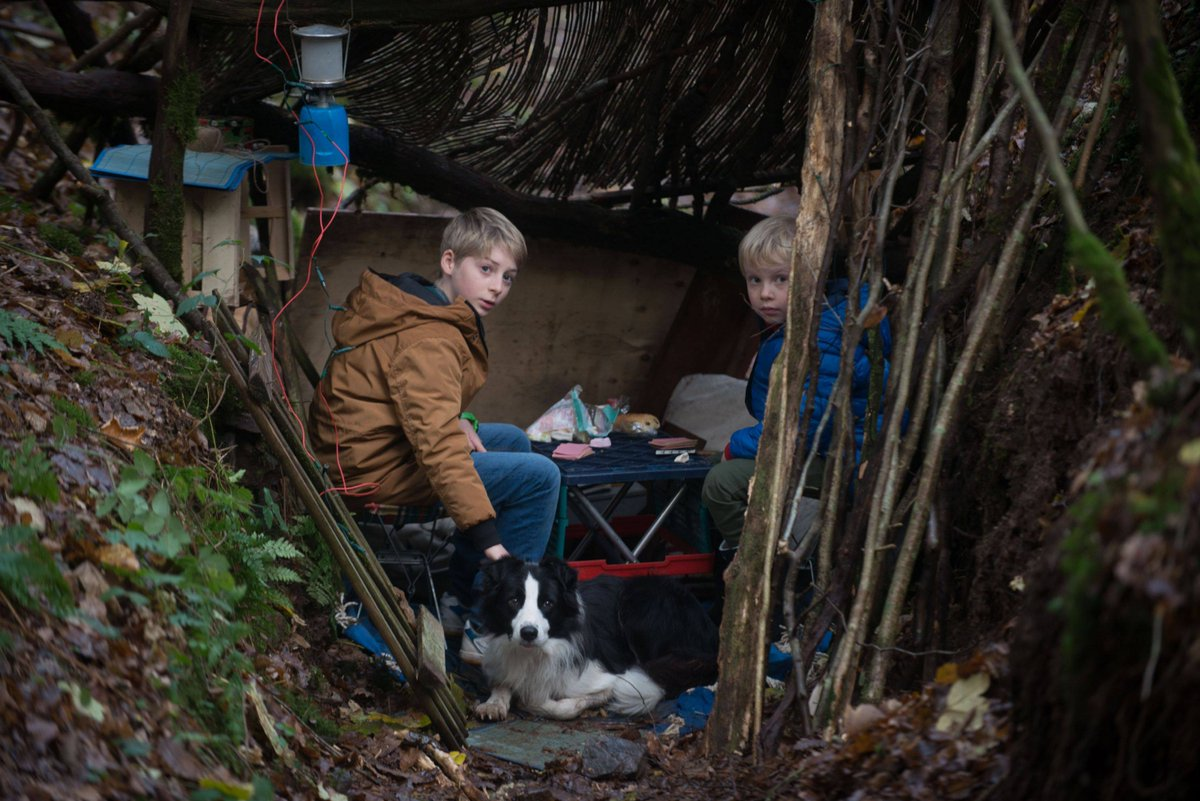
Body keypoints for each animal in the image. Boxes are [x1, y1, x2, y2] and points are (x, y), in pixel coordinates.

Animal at [472, 556, 715, 719]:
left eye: (548, 603)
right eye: (514, 601)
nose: (529, 633)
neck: (536, 652)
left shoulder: (610, 677)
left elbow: (556, 705)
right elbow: (503, 683)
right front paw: (493, 703)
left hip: (642, 604)